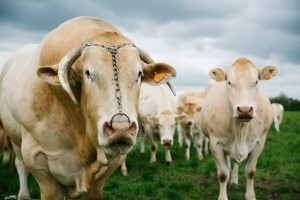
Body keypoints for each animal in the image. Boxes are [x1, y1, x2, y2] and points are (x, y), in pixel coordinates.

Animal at [0, 16, 176, 200]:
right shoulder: (39, 165)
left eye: (139, 74)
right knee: (20, 166)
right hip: (15, 139)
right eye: (88, 73)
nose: (120, 129)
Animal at [200, 57, 278, 200]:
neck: (241, 129)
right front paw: (223, 196)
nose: (245, 110)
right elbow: (223, 174)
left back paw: (234, 180)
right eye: (229, 82)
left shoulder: (259, 142)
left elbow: (250, 172)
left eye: (256, 82)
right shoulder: (215, 143)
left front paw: (250, 196)